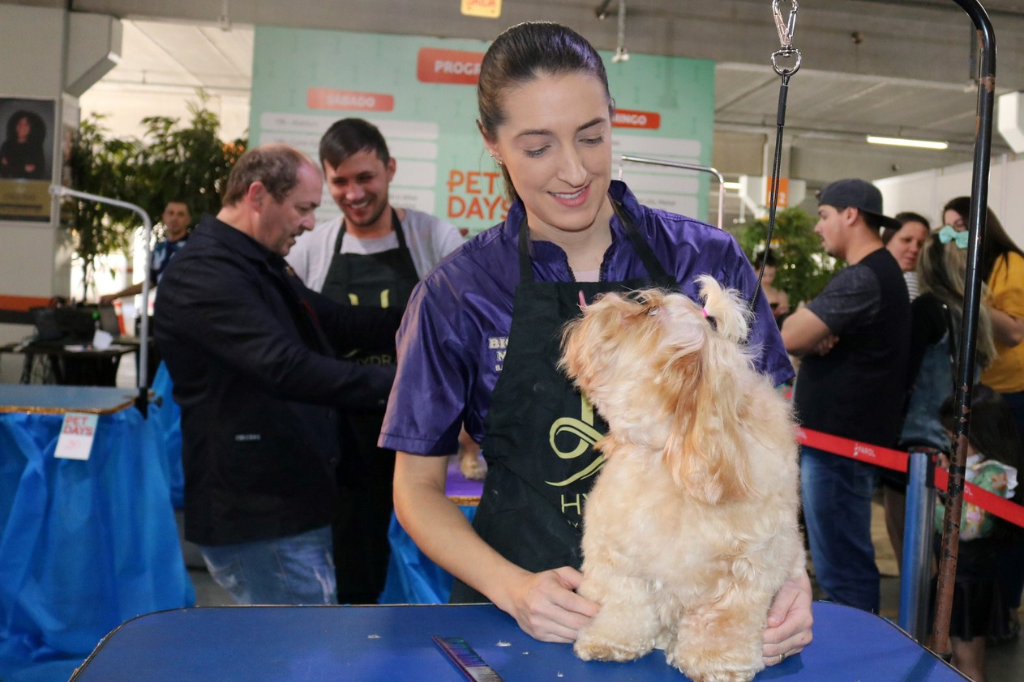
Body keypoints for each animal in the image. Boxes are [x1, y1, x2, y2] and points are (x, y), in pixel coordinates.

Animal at [561, 274, 798, 679]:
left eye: (649, 311)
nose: (600, 301)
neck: (667, 455)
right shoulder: (618, 558)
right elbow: (623, 606)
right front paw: (610, 642)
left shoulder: (743, 574)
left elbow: (722, 624)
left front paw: (717, 664)